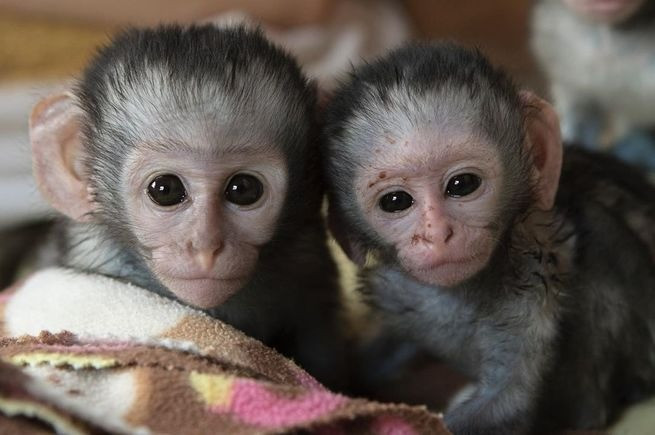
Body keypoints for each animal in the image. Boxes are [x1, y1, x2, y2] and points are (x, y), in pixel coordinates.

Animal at [322, 43, 655, 435]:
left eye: (462, 184)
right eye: (395, 201)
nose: (438, 235)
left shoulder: (535, 266)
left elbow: (507, 403)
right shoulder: (398, 294)